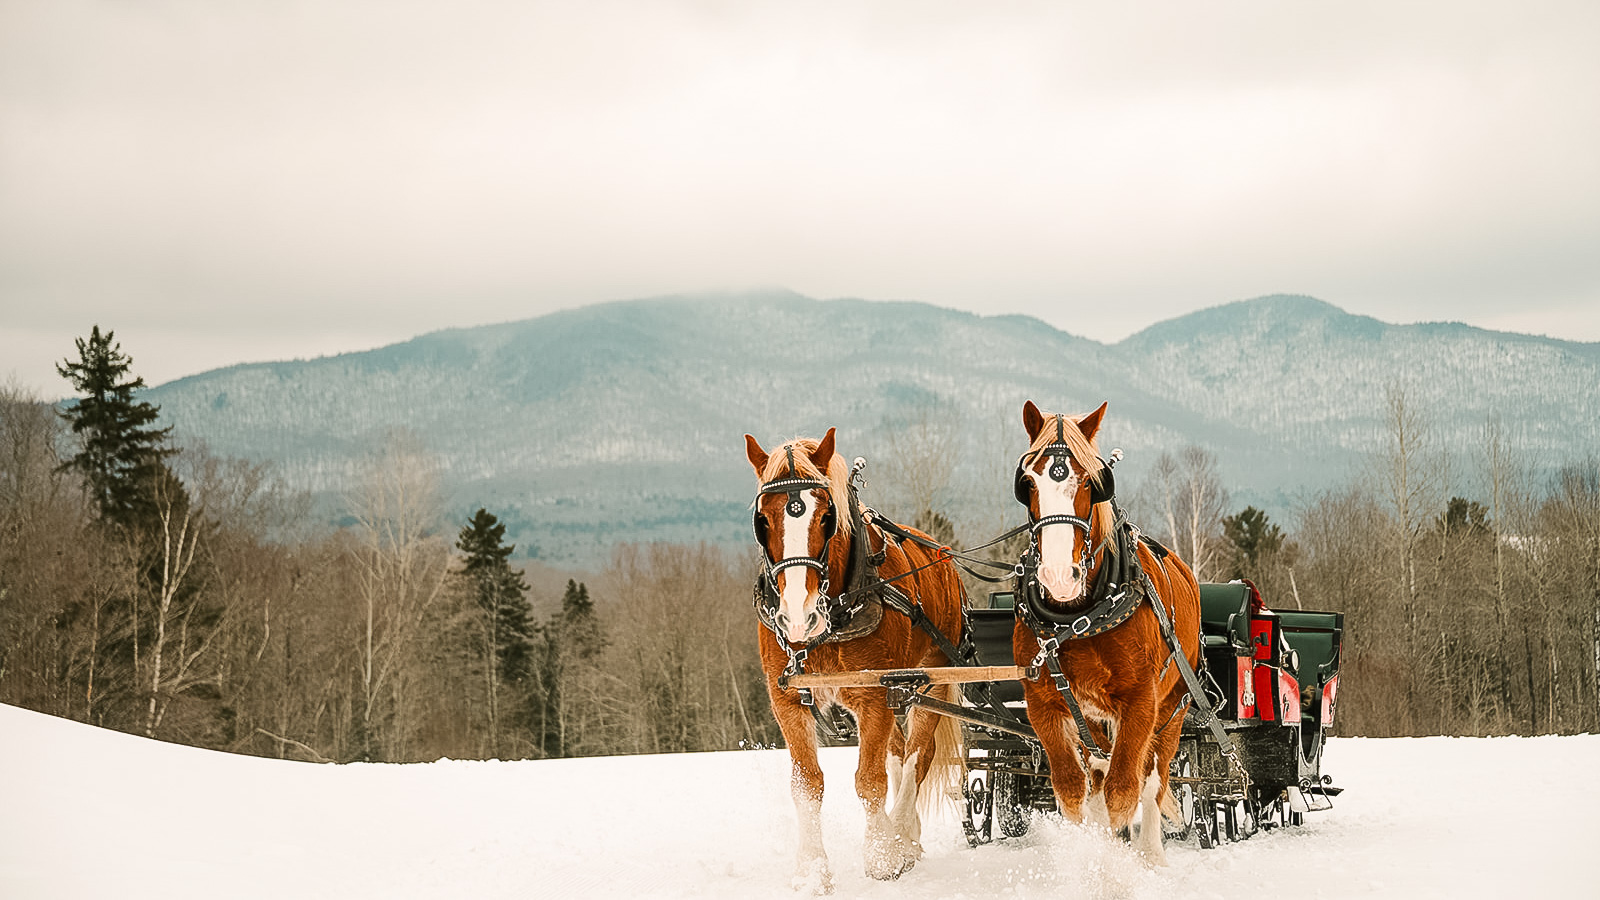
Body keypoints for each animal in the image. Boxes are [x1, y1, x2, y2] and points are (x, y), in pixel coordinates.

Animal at [744, 428, 965, 891]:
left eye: (826, 517)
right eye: (763, 521)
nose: (798, 616)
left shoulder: (873, 696)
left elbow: (870, 780)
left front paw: (883, 855)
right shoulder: (787, 700)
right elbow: (807, 785)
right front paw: (812, 870)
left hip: (931, 682)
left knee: (917, 758)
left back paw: (903, 836)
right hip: (902, 691)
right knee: (898, 753)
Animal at [1008, 400, 1201, 864]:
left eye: (1092, 482)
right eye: (1028, 482)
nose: (1059, 576)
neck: (1077, 618)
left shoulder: (1141, 702)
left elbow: (1123, 792)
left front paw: (1116, 870)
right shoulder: (1043, 704)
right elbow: (1073, 791)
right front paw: (1090, 857)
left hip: (1174, 708)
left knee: (1152, 778)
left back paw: (1151, 853)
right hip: (1092, 720)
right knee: (1097, 774)